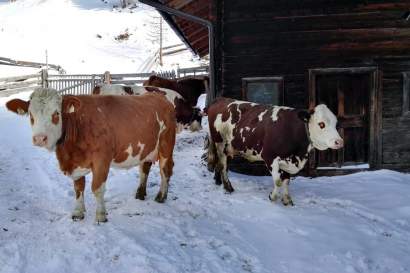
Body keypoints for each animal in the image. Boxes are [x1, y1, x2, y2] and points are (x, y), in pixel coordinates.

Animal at [6, 88, 176, 222]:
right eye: (30, 114)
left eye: (56, 113)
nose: (40, 138)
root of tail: (159, 96)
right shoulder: (75, 164)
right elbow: (78, 187)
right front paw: (78, 212)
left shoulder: (102, 160)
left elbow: (97, 188)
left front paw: (101, 215)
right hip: (147, 148)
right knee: (144, 168)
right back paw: (140, 193)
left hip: (166, 144)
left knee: (165, 170)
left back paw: (161, 196)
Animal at [207, 96, 344, 205]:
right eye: (321, 124)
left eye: (335, 123)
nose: (339, 141)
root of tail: (221, 99)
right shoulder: (270, 157)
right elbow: (278, 181)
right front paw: (272, 197)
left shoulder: (289, 160)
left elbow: (287, 181)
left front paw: (287, 200)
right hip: (220, 143)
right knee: (223, 165)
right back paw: (227, 187)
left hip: (229, 147)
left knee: (221, 165)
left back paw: (218, 182)